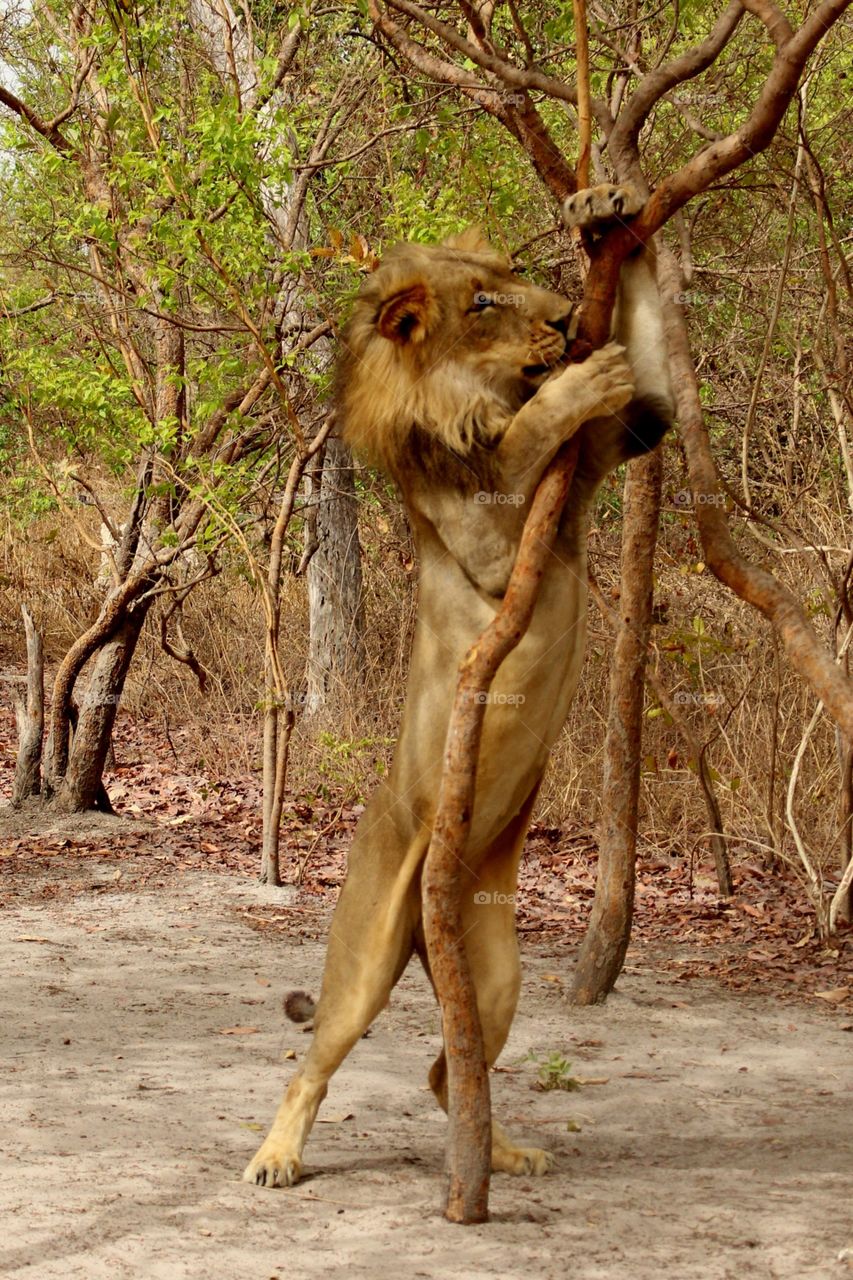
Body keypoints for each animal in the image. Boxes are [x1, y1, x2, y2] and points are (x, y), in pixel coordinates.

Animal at [244, 185, 671, 1182]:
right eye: (480, 304)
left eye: (509, 277)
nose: (563, 319)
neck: (470, 398)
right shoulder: (486, 545)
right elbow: (521, 442)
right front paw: (566, 385)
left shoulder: (626, 436)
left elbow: (650, 375)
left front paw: (604, 211)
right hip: (363, 957)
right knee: (311, 1065)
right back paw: (277, 1156)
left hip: (496, 966)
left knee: (449, 1073)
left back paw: (503, 1153)